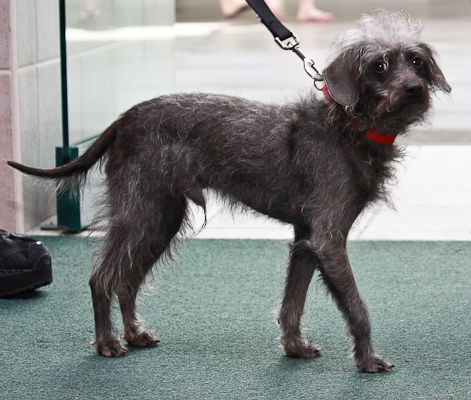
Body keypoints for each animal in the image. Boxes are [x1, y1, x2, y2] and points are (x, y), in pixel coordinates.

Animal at [7, 10, 450, 372]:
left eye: (416, 61)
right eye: (379, 65)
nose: (415, 89)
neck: (347, 127)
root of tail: (126, 117)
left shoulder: (306, 241)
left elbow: (292, 302)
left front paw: (294, 347)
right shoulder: (328, 240)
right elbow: (357, 307)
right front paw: (367, 359)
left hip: (160, 220)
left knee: (128, 280)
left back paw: (134, 334)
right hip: (141, 214)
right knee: (102, 279)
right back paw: (107, 343)